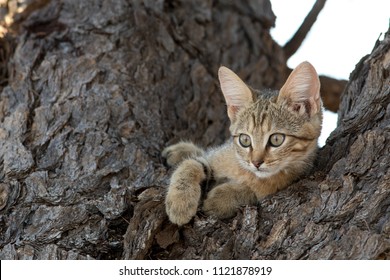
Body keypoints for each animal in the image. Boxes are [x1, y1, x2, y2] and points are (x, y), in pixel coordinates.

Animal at [162, 61, 322, 225]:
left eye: (276, 139)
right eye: (245, 140)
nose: (256, 163)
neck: (245, 172)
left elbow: (250, 192)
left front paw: (220, 199)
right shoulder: (216, 157)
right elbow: (192, 164)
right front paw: (180, 203)